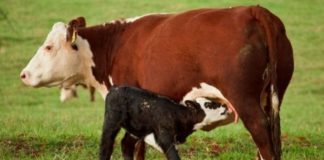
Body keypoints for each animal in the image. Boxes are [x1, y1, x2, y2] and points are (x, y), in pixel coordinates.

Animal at [100, 84, 232, 160]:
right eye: (208, 104)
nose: (225, 106)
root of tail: (115, 88)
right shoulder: (165, 137)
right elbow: (174, 157)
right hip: (111, 121)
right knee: (106, 144)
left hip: (136, 128)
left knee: (126, 144)